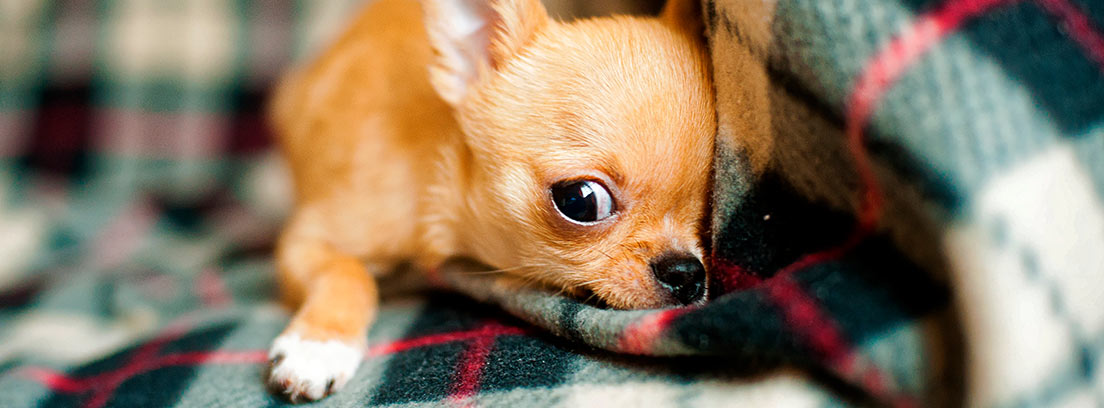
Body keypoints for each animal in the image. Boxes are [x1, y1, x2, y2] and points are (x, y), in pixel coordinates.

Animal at [267, 0, 715, 401]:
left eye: (709, 206)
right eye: (579, 201)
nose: (685, 272)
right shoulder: (307, 240)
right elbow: (348, 272)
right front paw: (319, 347)